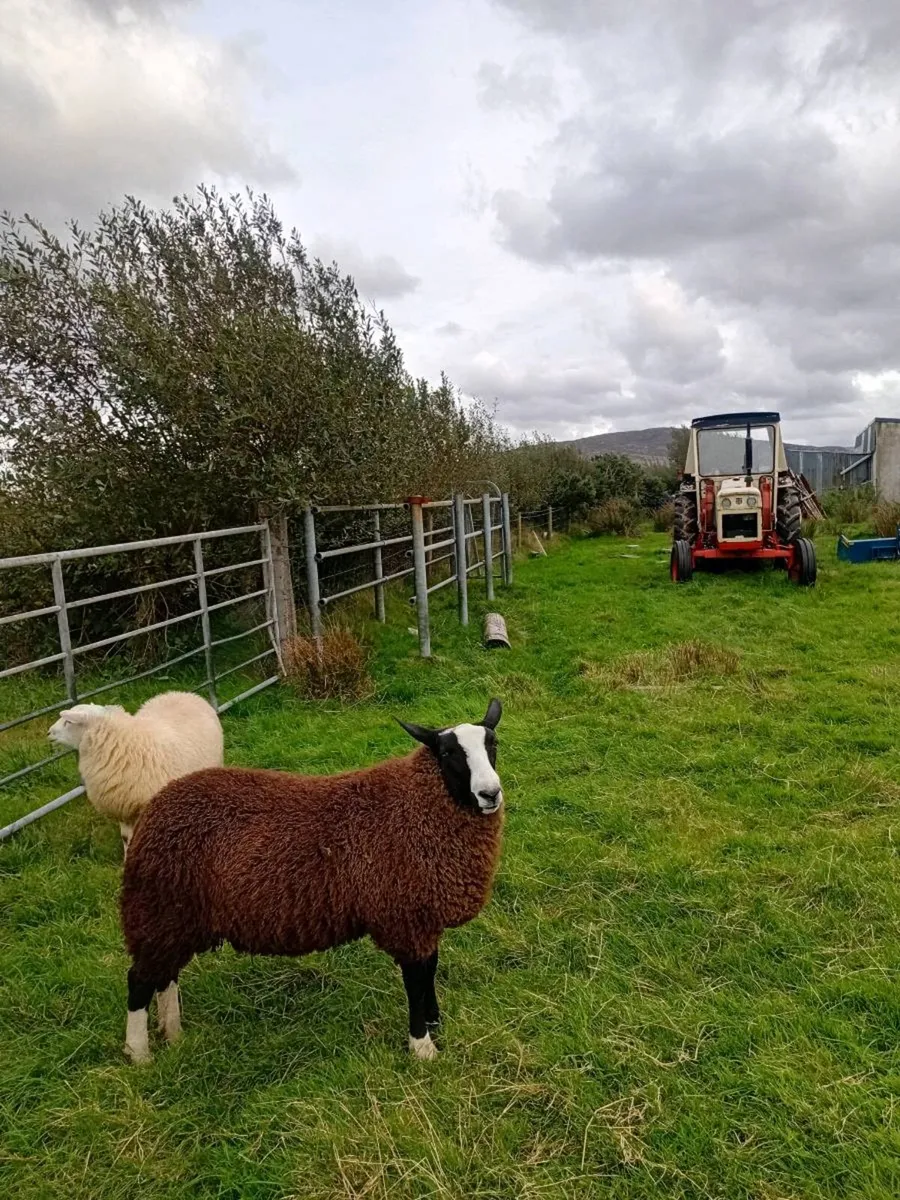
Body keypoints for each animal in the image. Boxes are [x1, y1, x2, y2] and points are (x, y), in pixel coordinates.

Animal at [119, 697, 505, 1064]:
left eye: (493, 744)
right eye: (447, 752)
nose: (490, 794)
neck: (415, 806)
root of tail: (156, 805)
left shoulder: (424, 918)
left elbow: (429, 973)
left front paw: (435, 1024)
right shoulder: (404, 918)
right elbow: (415, 981)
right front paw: (422, 1046)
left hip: (175, 917)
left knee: (165, 975)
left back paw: (173, 1034)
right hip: (156, 906)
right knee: (139, 980)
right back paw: (139, 1054)